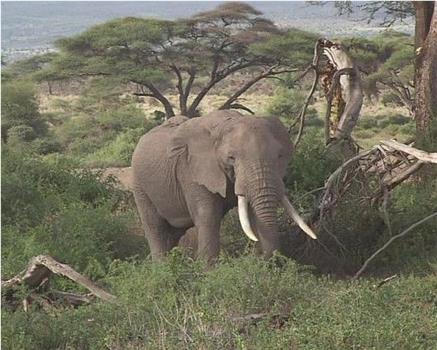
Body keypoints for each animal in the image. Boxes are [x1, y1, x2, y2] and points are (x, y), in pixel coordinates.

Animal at [131, 110, 316, 262]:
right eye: (231, 158)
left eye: (279, 156)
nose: (269, 261)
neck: (226, 122)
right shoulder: (192, 171)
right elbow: (208, 216)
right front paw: (209, 275)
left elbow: (253, 214)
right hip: (139, 185)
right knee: (155, 228)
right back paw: (163, 269)